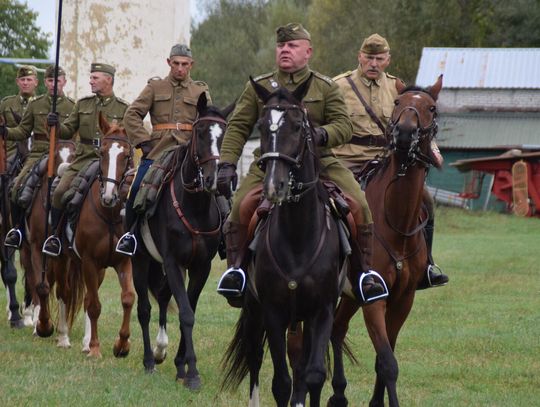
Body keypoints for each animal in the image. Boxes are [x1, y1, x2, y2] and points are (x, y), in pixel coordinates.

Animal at [56, 116, 135, 358]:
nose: (109, 196)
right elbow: (94, 306)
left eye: (126, 155)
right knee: (64, 292)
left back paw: (84, 342)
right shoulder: (89, 262)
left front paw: (122, 345)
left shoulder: (123, 260)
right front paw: (95, 348)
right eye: (102, 153)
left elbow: (128, 298)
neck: (109, 214)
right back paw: (62, 337)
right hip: (62, 260)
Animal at [133, 94, 232, 390]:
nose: (212, 178)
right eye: (199, 132)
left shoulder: (200, 267)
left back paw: (161, 351)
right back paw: (149, 360)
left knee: (164, 296)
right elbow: (186, 314)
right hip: (139, 260)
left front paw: (182, 367)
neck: (194, 206)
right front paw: (193, 373)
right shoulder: (172, 262)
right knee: (144, 308)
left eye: (223, 134)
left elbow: (189, 310)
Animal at [220, 77, 340, 407]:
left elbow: (313, 375)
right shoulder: (272, 311)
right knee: (254, 356)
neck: (299, 236)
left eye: (299, 126)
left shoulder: (322, 311)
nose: (275, 185)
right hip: (254, 310)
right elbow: (281, 383)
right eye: (261, 125)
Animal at [326, 75, 446, 406]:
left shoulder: (402, 299)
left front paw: (376, 401)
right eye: (397, 103)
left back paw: (338, 393)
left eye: (431, 108)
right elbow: (388, 362)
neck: (395, 222)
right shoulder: (374, 300)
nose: (404, 134)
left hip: (350, 296)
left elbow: (386, 355)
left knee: (336, 329)